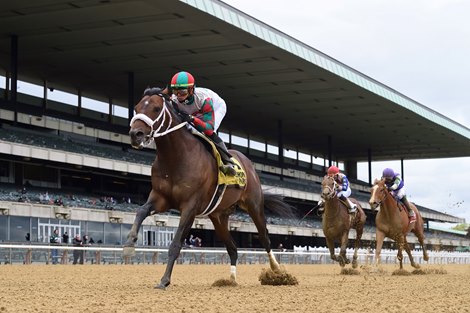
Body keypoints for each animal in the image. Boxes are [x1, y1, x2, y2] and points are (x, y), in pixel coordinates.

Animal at [124, 88, 294, 288]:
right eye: (136, 108)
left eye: (156, 108)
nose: (136, 134)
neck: (175, 157)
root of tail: (248, 164)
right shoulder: (160, 198)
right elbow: (141, 211)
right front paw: (129, 244)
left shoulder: (190, 206)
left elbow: (176, 243)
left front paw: (164, 280)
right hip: (218, 216)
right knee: (232, 248)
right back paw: (230, 280)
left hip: (254, 205)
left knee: (264, 238)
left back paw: (277, 272)